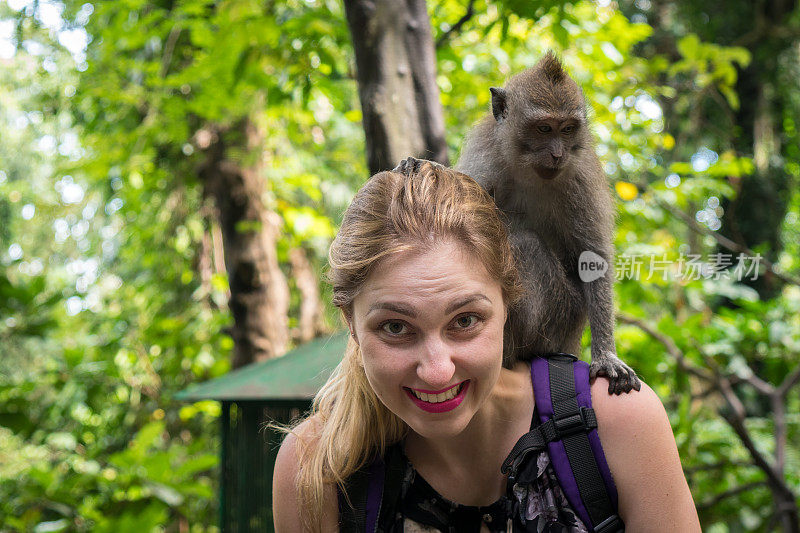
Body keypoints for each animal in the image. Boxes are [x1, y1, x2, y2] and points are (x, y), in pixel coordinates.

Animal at [396, 52, 644, 394]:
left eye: (567, 129)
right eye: (544, 128)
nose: (557, 154)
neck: (528, 168)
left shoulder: (579, 176)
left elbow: (592, 256)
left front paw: (606, 355)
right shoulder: (487, 151)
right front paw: (424, 164)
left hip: (561, 318)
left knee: (524, 244)